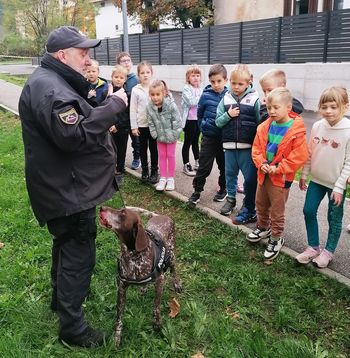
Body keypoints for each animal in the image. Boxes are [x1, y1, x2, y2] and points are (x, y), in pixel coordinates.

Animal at [98, 206, 180, 346]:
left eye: (123, 212)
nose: (101, 207)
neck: (132, 255)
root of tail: (161, 216)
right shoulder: (121, 287)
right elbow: (119, 317)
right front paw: (117, 338)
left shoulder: (160, 280)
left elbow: (156, 307)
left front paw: (157, 325)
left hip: (171, 256)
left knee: (174, 270)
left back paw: (177, 284)